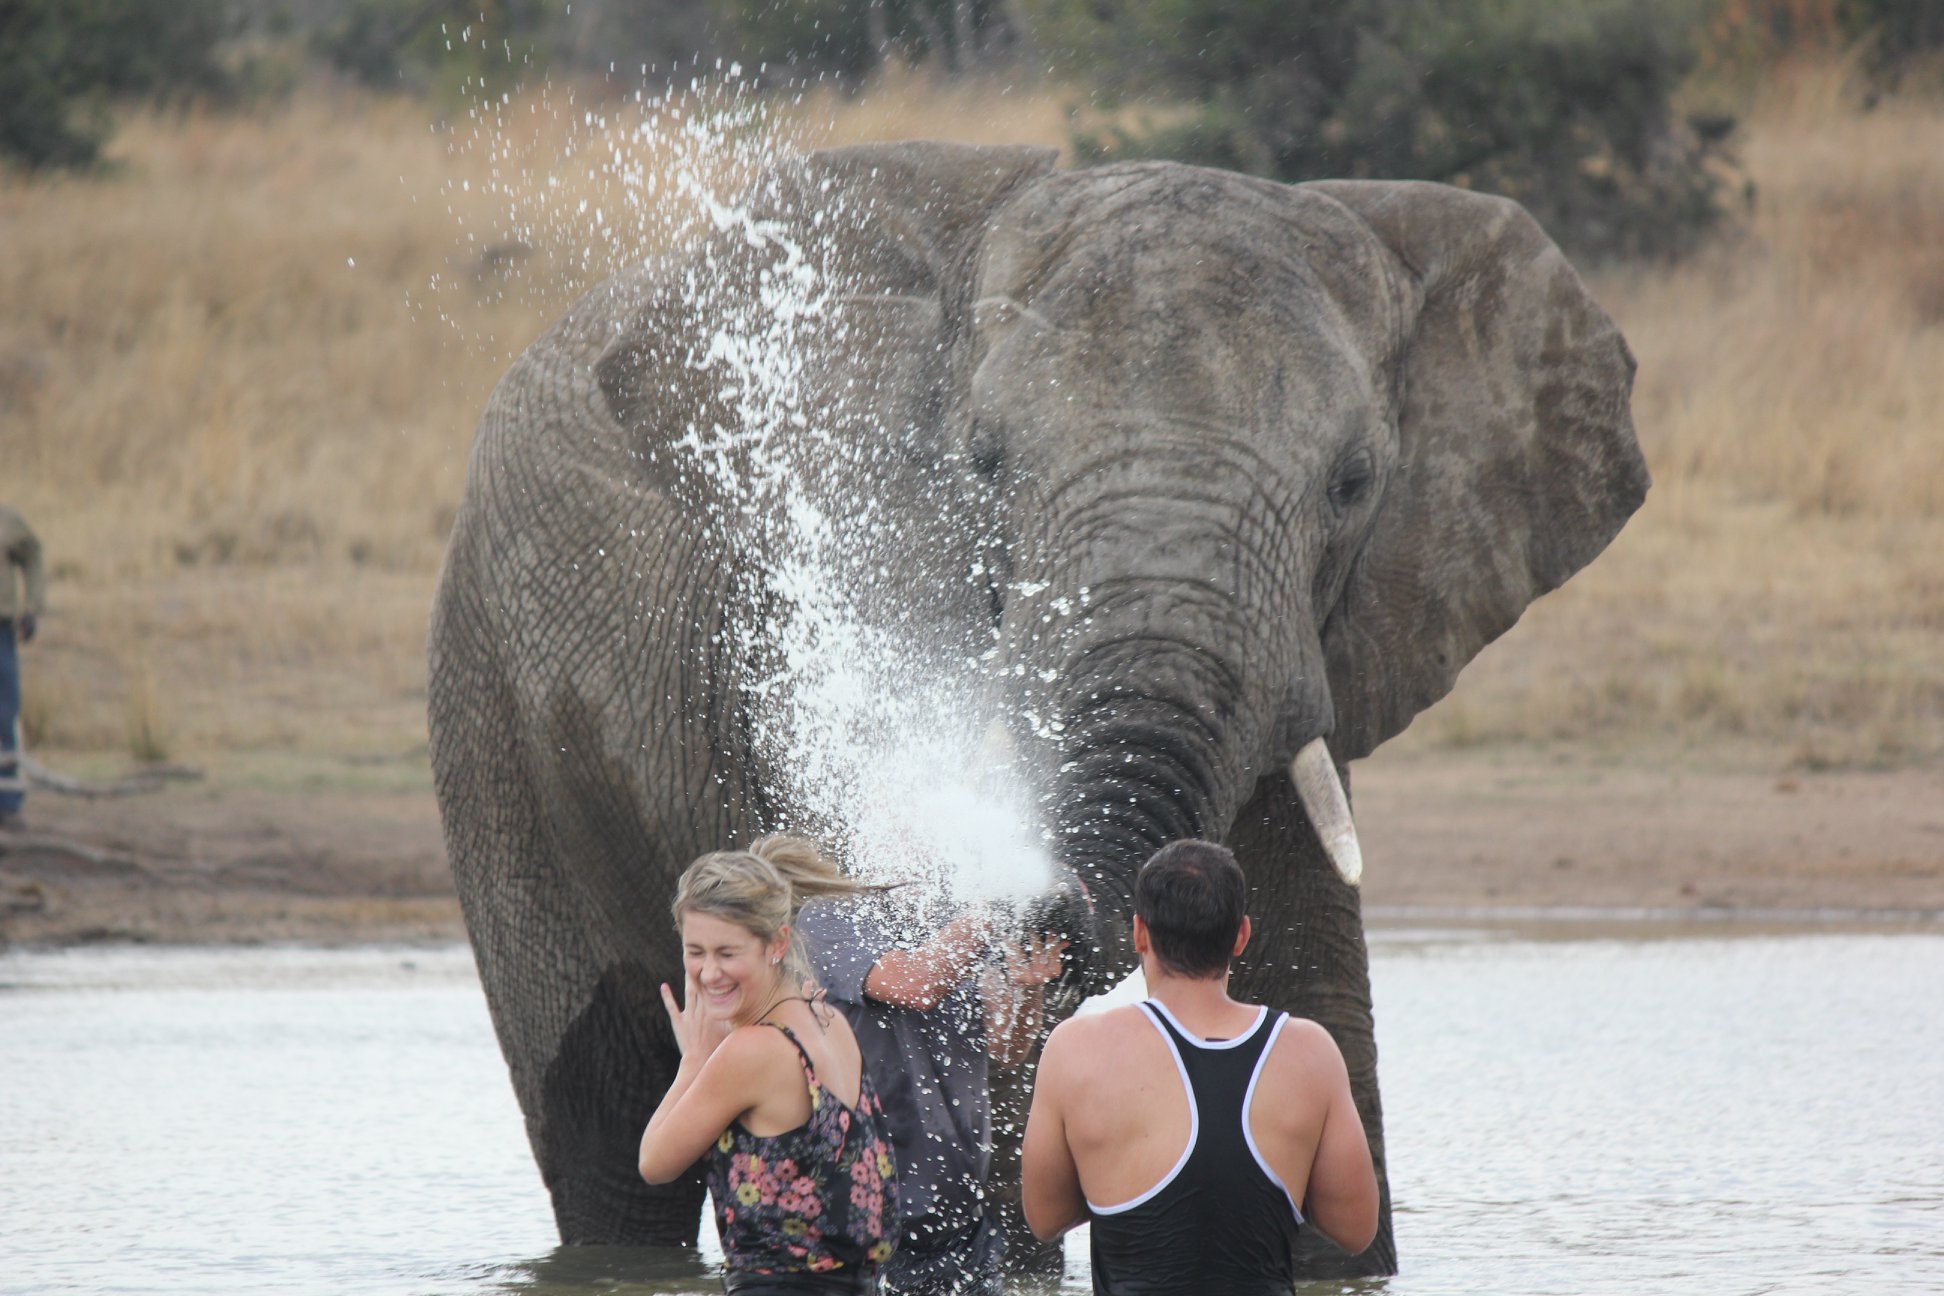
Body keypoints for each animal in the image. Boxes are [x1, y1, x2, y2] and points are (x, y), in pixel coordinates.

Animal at [426, 138, 1648, 1276]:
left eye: (1353, 483)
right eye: (982, 464)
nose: (1052, 910)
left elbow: (1311, 996)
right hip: (494, 686)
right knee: (604, 1127)